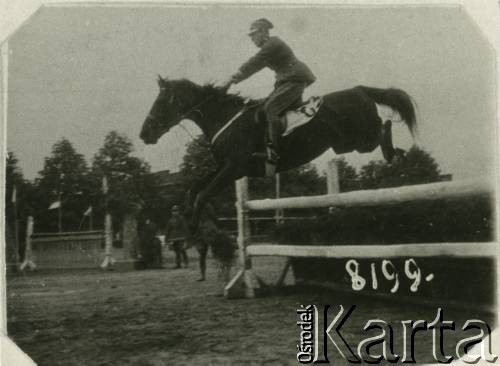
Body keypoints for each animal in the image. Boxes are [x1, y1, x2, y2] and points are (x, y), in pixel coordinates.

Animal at [139, 77, 416, 229]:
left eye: (161, 102)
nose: (144, 134)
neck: (226, 119)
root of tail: (360, 89)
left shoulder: (234, 167)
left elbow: (203, 193)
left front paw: (194, 225)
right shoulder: (226, 168)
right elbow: (194, 188)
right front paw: (186, 216)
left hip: (358, 138)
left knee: (383, 128)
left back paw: (396, 154)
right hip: (345, 143)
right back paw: (399, 155)